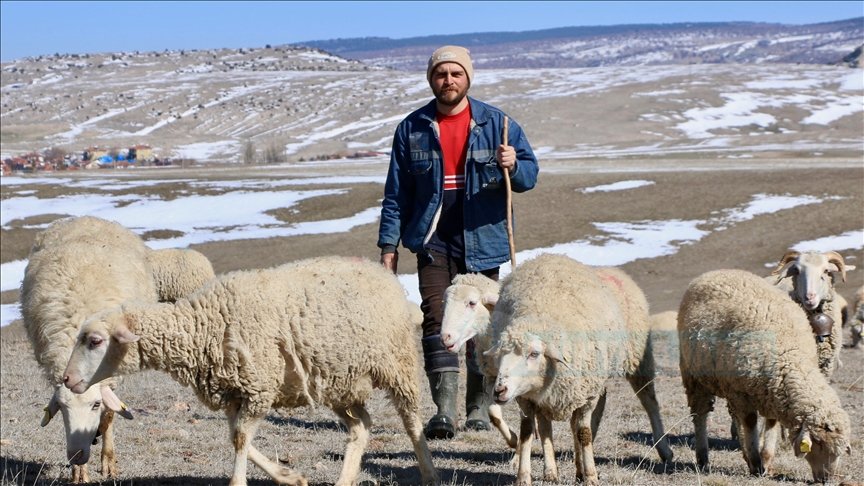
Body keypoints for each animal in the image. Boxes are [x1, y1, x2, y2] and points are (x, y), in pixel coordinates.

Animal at [61, 256, 438, 484]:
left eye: (95, 341)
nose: (67, 379)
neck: (204, 325)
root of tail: (385, 275)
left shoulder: (258, 389)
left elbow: (241, 439)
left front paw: (239, 480)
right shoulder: (234, 392)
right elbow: (236, 437)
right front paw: (288, 476)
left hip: (398, 364)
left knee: (410, 421)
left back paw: (429, 471)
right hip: (337, 380)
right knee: (361, 427)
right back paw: (344, 479)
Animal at [680, 270, 852, 482]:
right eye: (818, 442)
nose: (826, 479)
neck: (789, 355)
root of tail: (713, 273)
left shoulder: (772, 392)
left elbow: (771, 422)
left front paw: (766, 461)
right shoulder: (743, 395)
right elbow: (750, 423)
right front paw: (755, 463)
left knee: (731, 415)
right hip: (694, 375)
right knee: (700, 415)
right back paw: (703, 458)